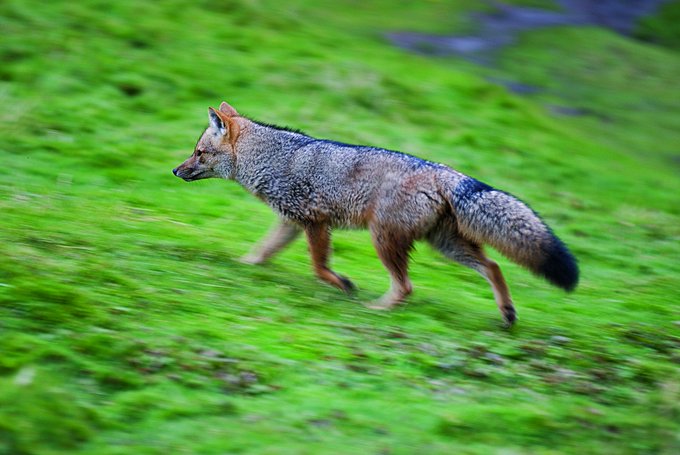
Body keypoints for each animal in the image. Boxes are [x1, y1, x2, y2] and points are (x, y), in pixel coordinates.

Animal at [173, 102, 576, 328]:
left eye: (198, 153)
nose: (175, 171)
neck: (275, 158)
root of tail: (444, 171)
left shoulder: (315, 222)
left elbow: (318, 267)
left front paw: (343, 284)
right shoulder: (291, 222)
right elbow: (261, 251)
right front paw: (242, 266)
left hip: (383, 238)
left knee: (406, 286)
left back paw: (377, 309)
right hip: (444, 245)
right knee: (492, 266)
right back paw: (506, 313)